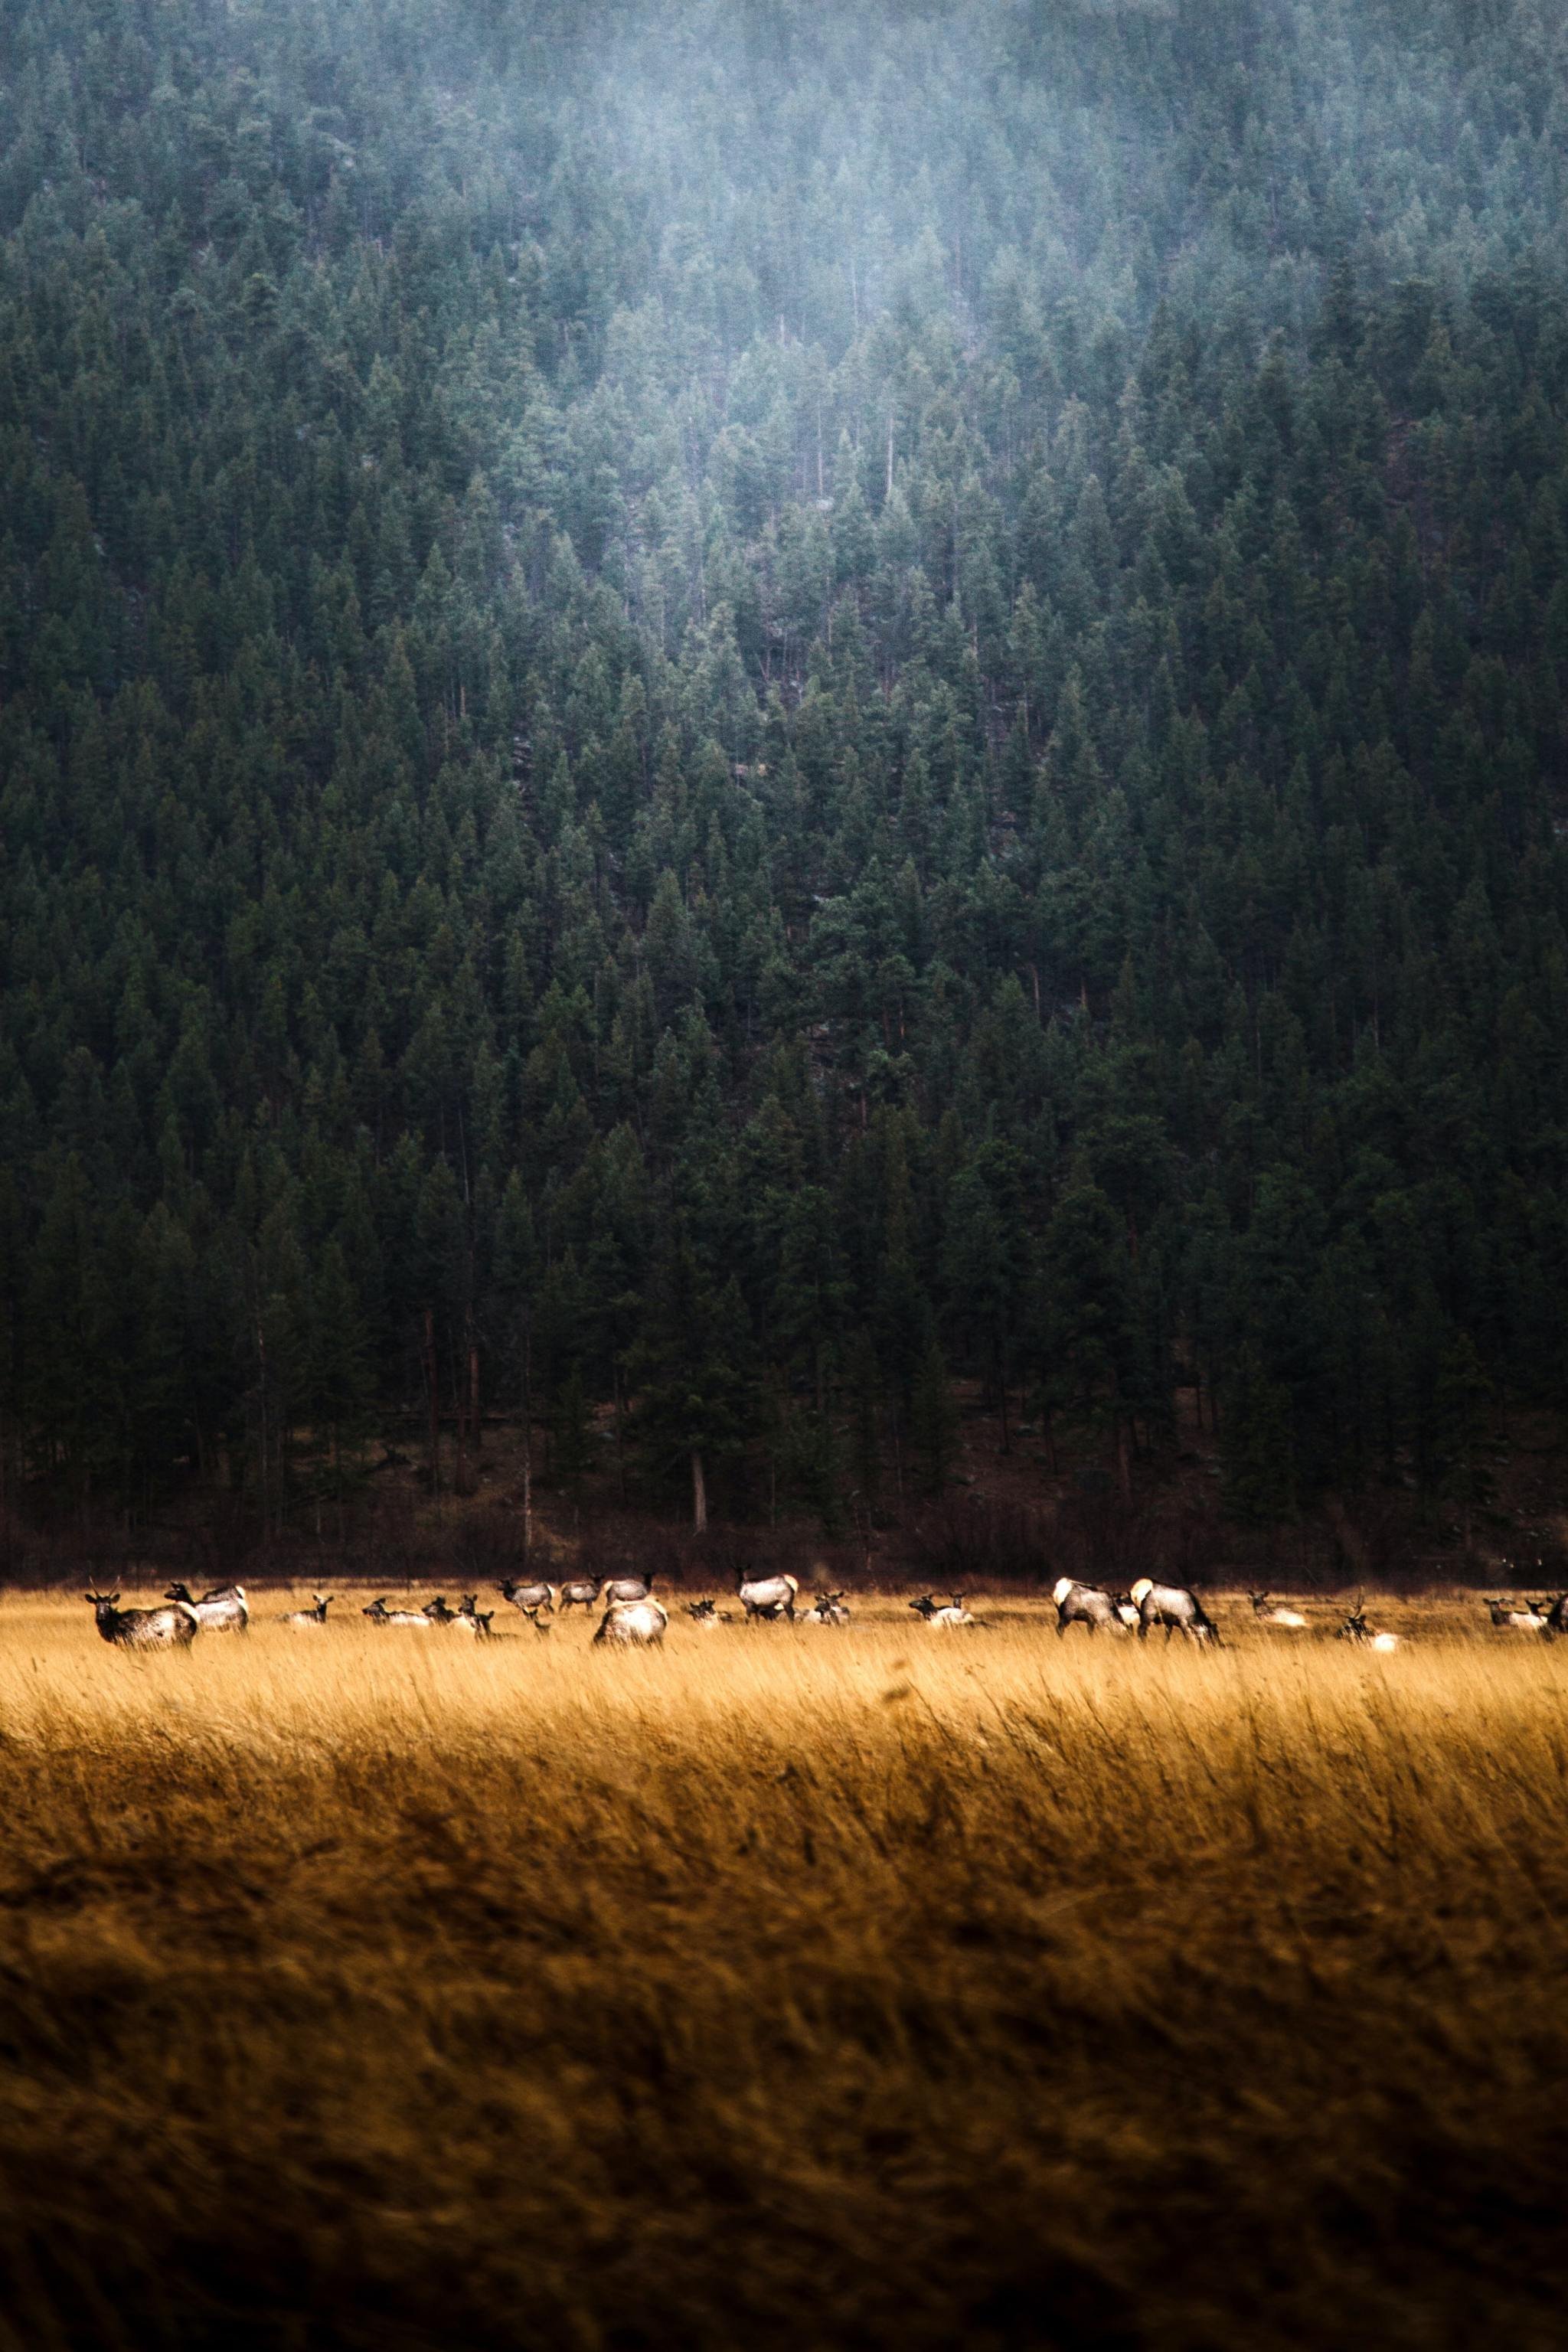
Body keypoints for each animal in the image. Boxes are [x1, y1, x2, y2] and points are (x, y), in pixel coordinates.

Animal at [86, 1591, 199, 1649]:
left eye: (108, 1605)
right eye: (96, 1605)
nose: (101, 1616)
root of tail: (193, 1617)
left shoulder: (132, 1646)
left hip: (184, 1642)